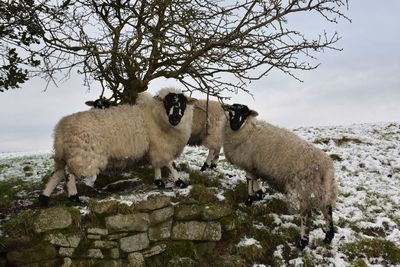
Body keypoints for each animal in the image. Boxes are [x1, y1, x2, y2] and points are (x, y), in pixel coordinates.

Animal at [39, 88, 196, 207]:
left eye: (183, 103)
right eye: (167, 102)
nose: (175, 119)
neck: (155, 115)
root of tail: (61, 127)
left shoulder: (155, 146)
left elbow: (157, 163)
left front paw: (158, 182)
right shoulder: (161, 145)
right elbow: (170, 163)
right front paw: (180, 182)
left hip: (64, 154)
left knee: (57, 173)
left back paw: (44, 198)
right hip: (82, 154)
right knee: (68, 173)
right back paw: (74, 198)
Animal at [223, 104, 336, 249]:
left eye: (245, 113)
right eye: (232, 110)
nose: (235, 125)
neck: (248, 130)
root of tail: (325, 166)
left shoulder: (248, 162)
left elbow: (249, 179)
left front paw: (249, 200)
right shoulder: (254, 165)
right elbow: (254, 179)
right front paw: (259, 194)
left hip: (302, 187)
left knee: (306, 214)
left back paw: (302, 242)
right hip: (321, 189)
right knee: (327, 209)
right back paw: (328, 236)